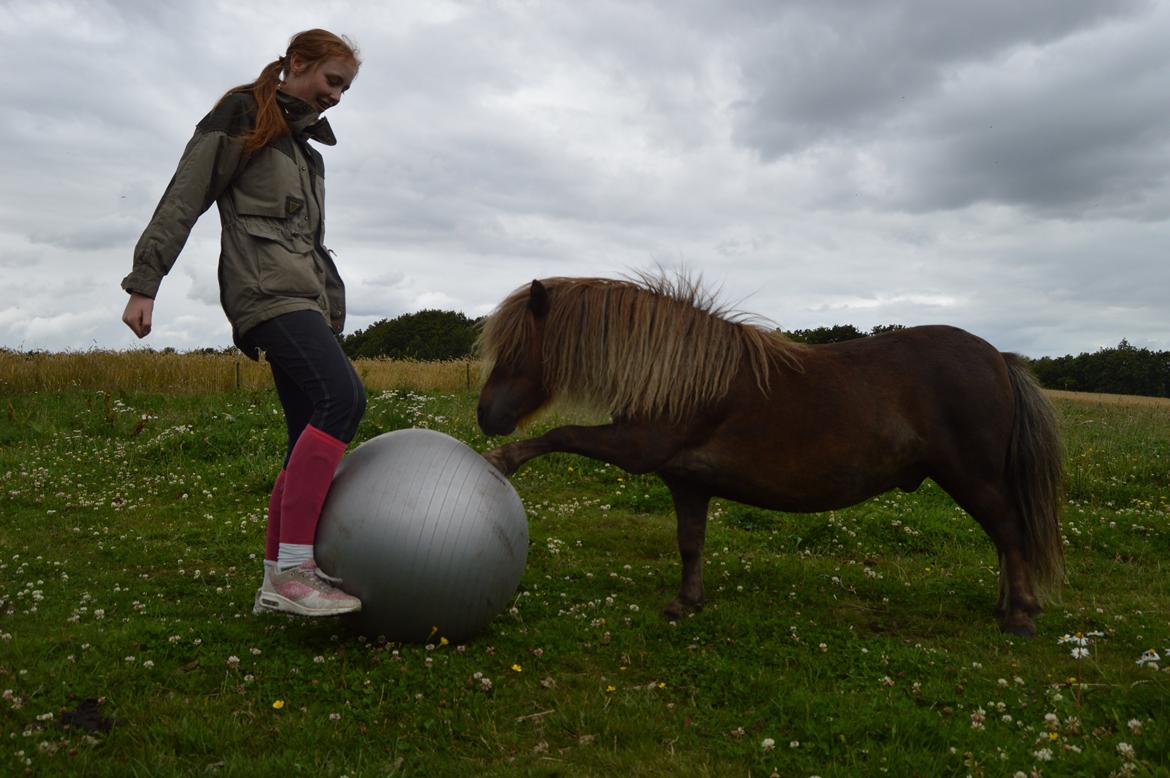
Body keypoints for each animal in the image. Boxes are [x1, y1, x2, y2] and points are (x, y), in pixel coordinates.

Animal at [472, 276, 1062, 636]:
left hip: (972, 478)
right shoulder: (686, 481)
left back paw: (1020, 616)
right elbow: (690, 543)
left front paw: (503, 459)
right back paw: (1009, 606)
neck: (683, 376)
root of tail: (998, 357)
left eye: (516, 347)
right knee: (1005, 536)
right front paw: (686, 603)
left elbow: (562, 434)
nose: (486, 416)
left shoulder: (637, 448)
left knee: (1010, 532)